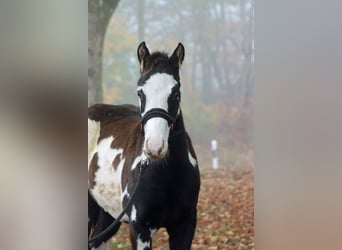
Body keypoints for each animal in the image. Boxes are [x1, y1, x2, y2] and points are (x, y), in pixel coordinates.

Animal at [88, 43, 200, 250]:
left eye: (176, 94)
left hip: (108, 215)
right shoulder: (139, 228)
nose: (155, 147)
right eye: (140, 93)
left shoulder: (185, 227)